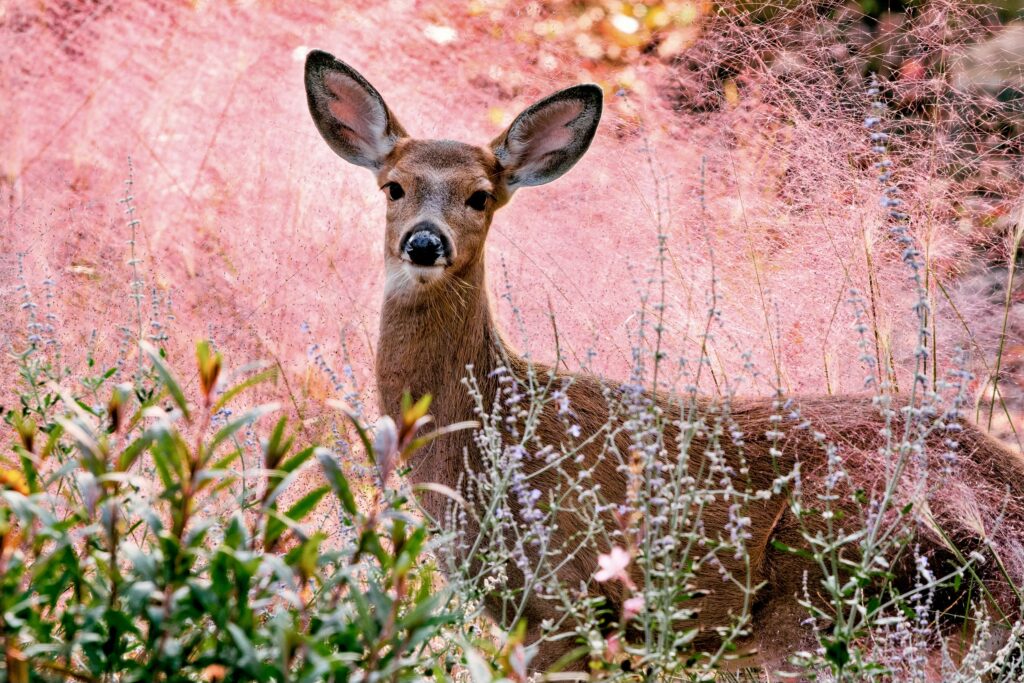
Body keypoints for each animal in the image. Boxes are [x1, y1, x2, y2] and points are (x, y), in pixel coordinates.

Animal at [303, 50, 1024, 675]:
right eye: (393, 187)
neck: (485, 434)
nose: (425, 243)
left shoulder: (559, 600)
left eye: (480, 195)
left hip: (827, 594)